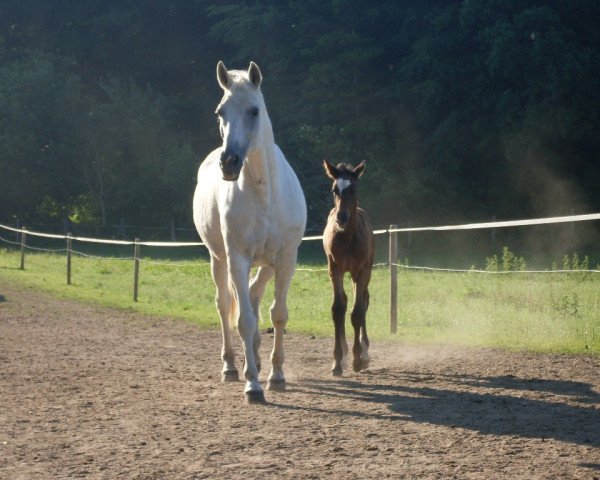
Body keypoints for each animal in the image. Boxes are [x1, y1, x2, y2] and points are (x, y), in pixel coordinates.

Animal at [193, 62, 308, 404]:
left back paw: (253, 359)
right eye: (220, 111)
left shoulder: (286, 260)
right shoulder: (238, 259)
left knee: (256, 296)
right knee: (224, 304)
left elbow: (278, 314)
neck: (263, 193)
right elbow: (243, 319)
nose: (229, 163)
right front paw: (253, 385)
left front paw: (276, 375)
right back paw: (233, 366)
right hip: (219, 260)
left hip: (266, 264)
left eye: (254, 110)